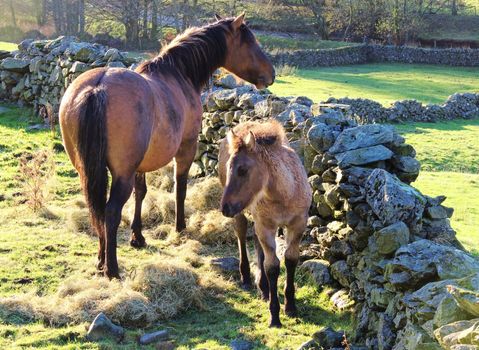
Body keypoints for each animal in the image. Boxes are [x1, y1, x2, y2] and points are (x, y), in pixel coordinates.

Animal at [59, 14, 276, 278]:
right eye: (250, 41)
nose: (271, 74)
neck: (178, 75)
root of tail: (98, 87)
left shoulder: (140, 166)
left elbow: (141, 193)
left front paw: (137, 236)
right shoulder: (186, 149)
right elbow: (180, 188)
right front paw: (180, 226)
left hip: (89, 171)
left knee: (97, 209)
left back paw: (101, 261)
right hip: (122, 174)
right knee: (110, 212)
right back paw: (112, 269)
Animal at [219, 121, 314, 328]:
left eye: (242, 170)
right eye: (228, 167)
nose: (225, 208)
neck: (284, 193)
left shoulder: (297, 224)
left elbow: (290, 259)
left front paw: (290, 306)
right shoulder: (266, 226)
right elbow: (272, 266)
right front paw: (275, 316)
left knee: (256, 242)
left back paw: (263, 288)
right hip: (243, 214)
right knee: (241, 234)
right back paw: (246, 277)